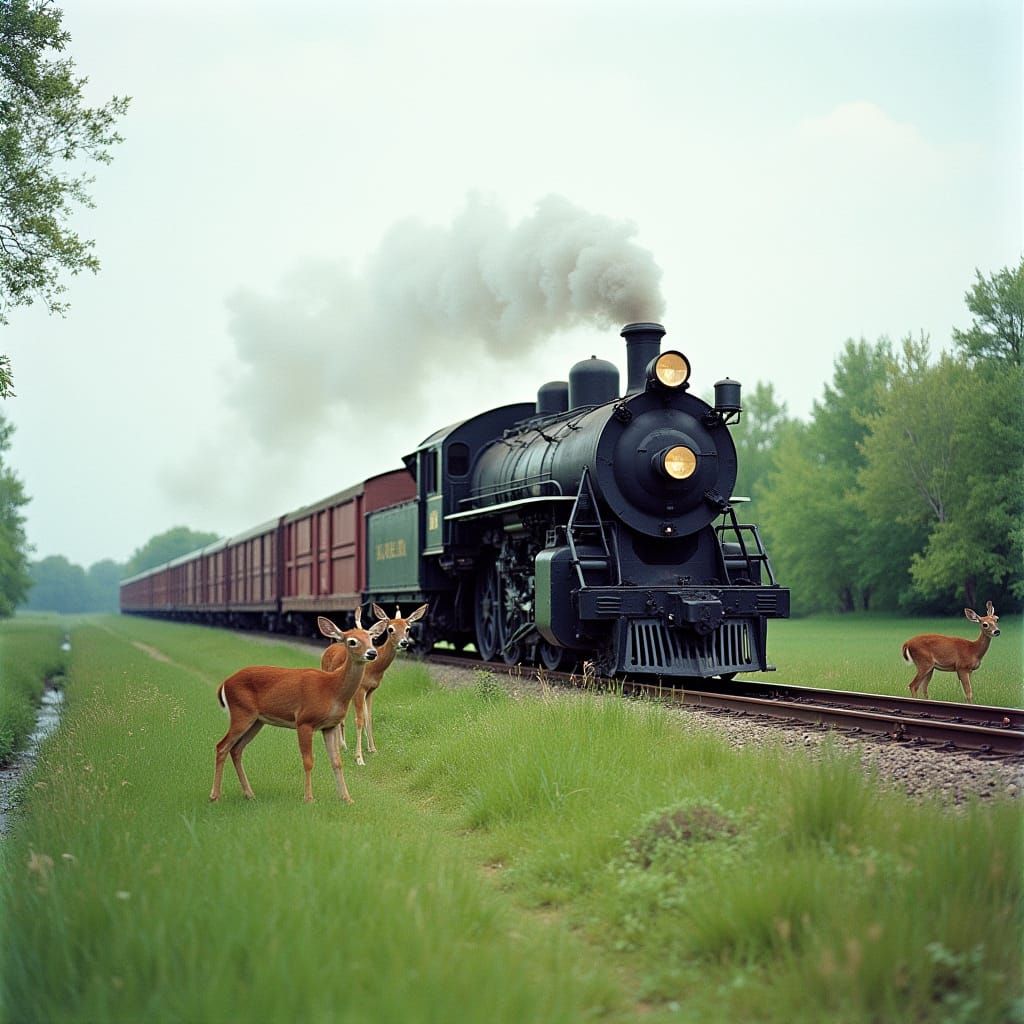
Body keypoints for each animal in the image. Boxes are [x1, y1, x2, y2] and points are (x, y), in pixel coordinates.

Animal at [210, 611, 387, 804]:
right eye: (352, 641)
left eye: (372, 638)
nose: (372, 653)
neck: (332, 689)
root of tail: (224, 684)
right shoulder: (304, 721)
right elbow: (308, 761)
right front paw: (309, 798)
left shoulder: (329, 726)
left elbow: (336, 762)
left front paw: (347, 799)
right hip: (241, 713)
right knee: (222, 746)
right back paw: (215, 796)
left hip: (256, 721)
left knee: (236, 749)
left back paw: (249, 794)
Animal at [322, 602, 429, 766]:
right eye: (390, 629)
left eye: (407, 628)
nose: (404, 643)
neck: (374, 669)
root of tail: (331, 645)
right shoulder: (360, 690)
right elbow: (359, 720)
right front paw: (359, 758)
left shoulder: (371, 690)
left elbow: (369, 718)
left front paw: (372, 749)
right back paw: (342, 745)